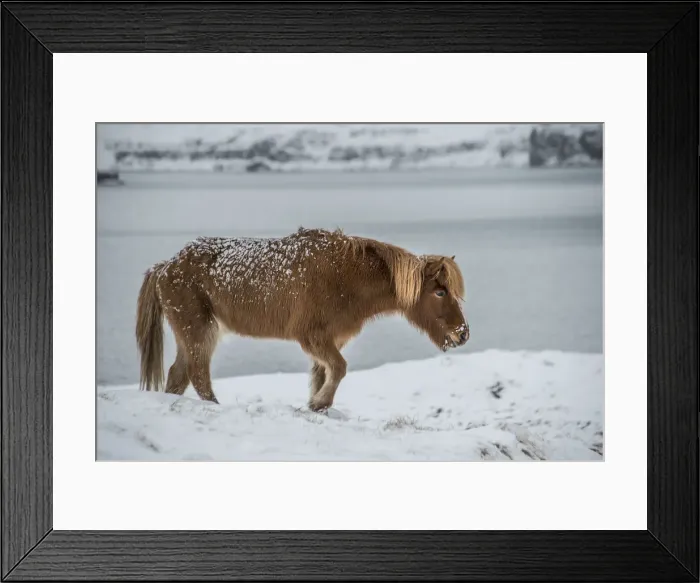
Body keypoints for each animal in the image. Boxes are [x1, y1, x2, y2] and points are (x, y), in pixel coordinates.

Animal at [136, 227, 469, 411]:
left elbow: (324, 374)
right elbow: (339, 368)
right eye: (440, 292)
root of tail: (166, 266)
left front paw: (316, 407)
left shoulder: (330, 341)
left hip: (192, 333)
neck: (346, 276)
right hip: (199, 330)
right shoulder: (313, 338)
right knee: (198, 375)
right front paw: (319, 403)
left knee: (178, 376)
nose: (463, 333)